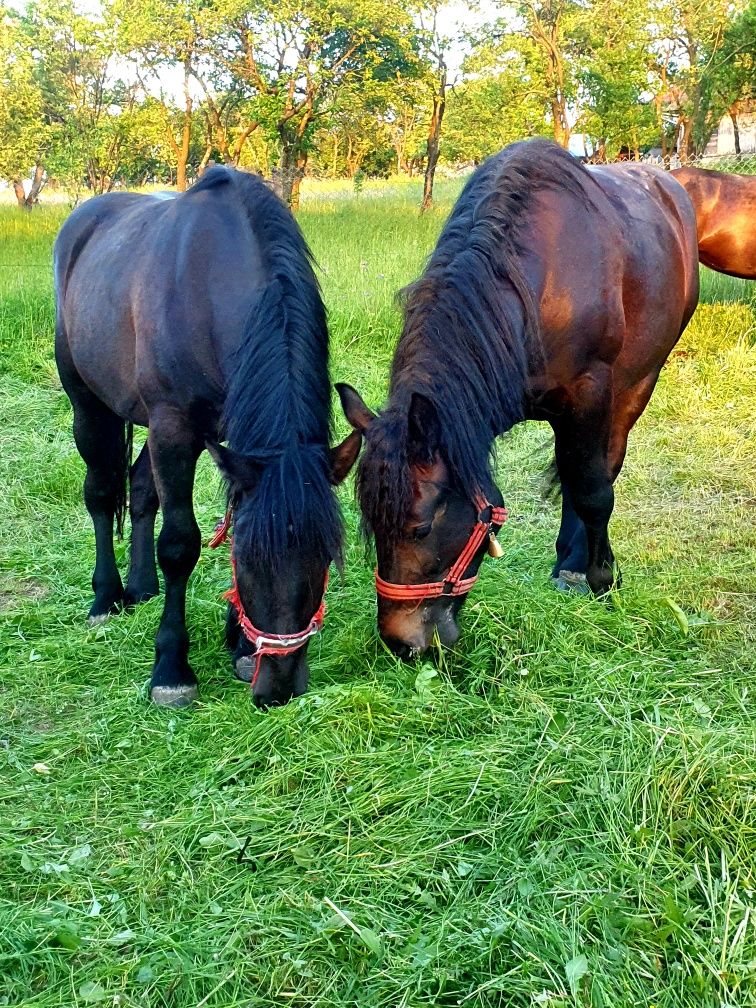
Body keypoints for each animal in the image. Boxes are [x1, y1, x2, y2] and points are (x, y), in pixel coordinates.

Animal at [53, 167, 360, 709]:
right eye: (252, 561)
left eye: (324, 557)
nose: (279, 688)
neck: (210, 287)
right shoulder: (175, 429)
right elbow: (180, 544)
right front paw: (171, 669)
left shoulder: (234, 443)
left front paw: (238, 644)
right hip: (90, 406)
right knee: (102, 492)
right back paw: (106, 597)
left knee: (139, 489)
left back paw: (140, 586)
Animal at [340, 142, 701, 661]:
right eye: (370, 523)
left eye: (420, 529)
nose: (401, 644)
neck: (537, 283)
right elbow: (575, 480)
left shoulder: (590, 393)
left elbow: (593, 491)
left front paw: (602, 578)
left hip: (638, 382)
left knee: (604, 465)